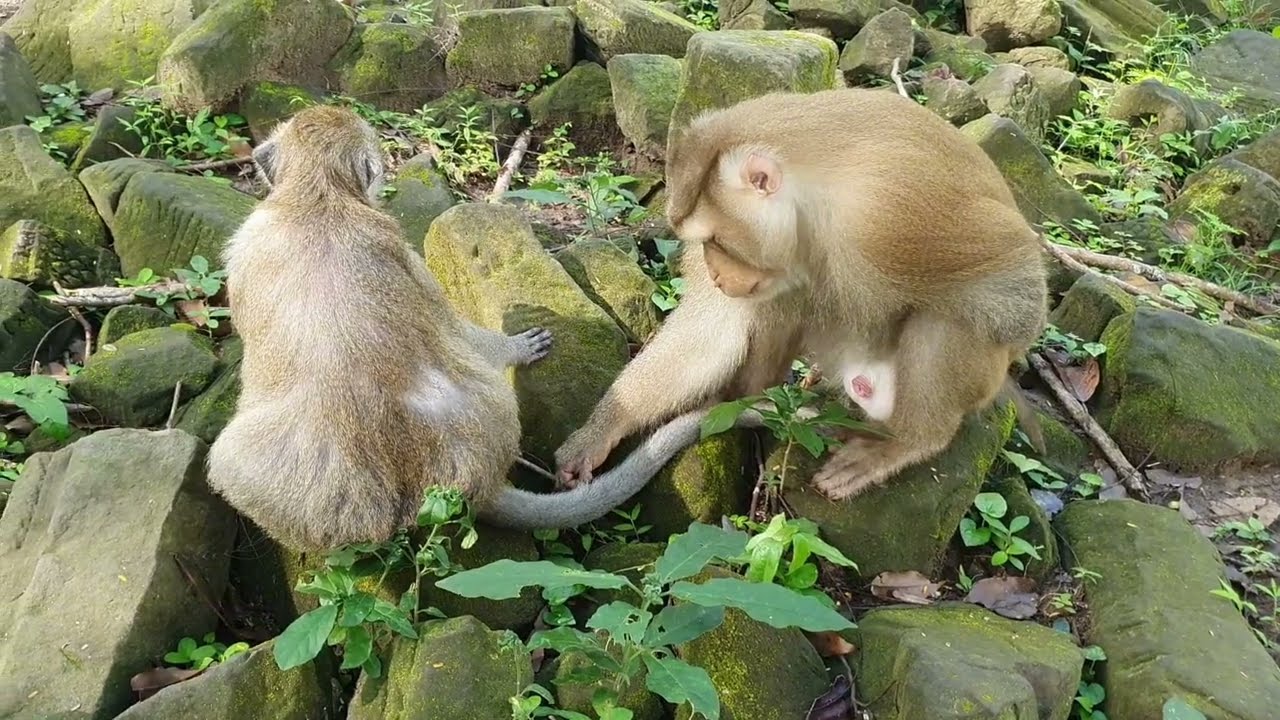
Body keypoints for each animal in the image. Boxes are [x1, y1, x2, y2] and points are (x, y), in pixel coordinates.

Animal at [553, 87, 1048, 500]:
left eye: (717, 241)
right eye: (704, 244)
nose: (716, 274)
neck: (814, 194)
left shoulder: (886, 216)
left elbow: (1016, 279)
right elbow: (713, 330)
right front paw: (601, 430)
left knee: (952, 319)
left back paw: (908, 441)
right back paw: (750, 397)